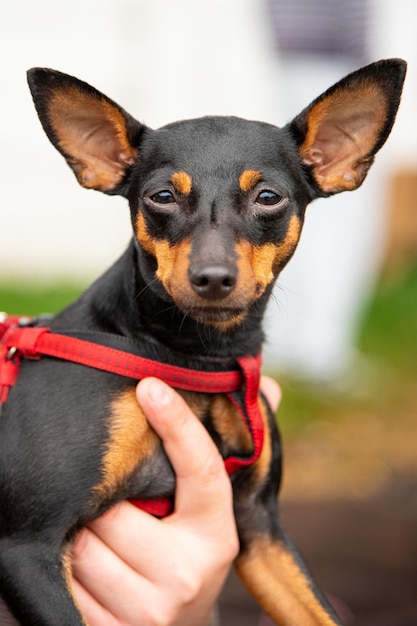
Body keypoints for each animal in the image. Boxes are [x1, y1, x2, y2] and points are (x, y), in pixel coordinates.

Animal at [0, 59, 404, 624]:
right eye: (161, 197)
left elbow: (316, 611)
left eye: (268, 197)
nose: (212, 277)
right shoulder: (26, 545)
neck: (199, 357)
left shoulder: (259, 528)